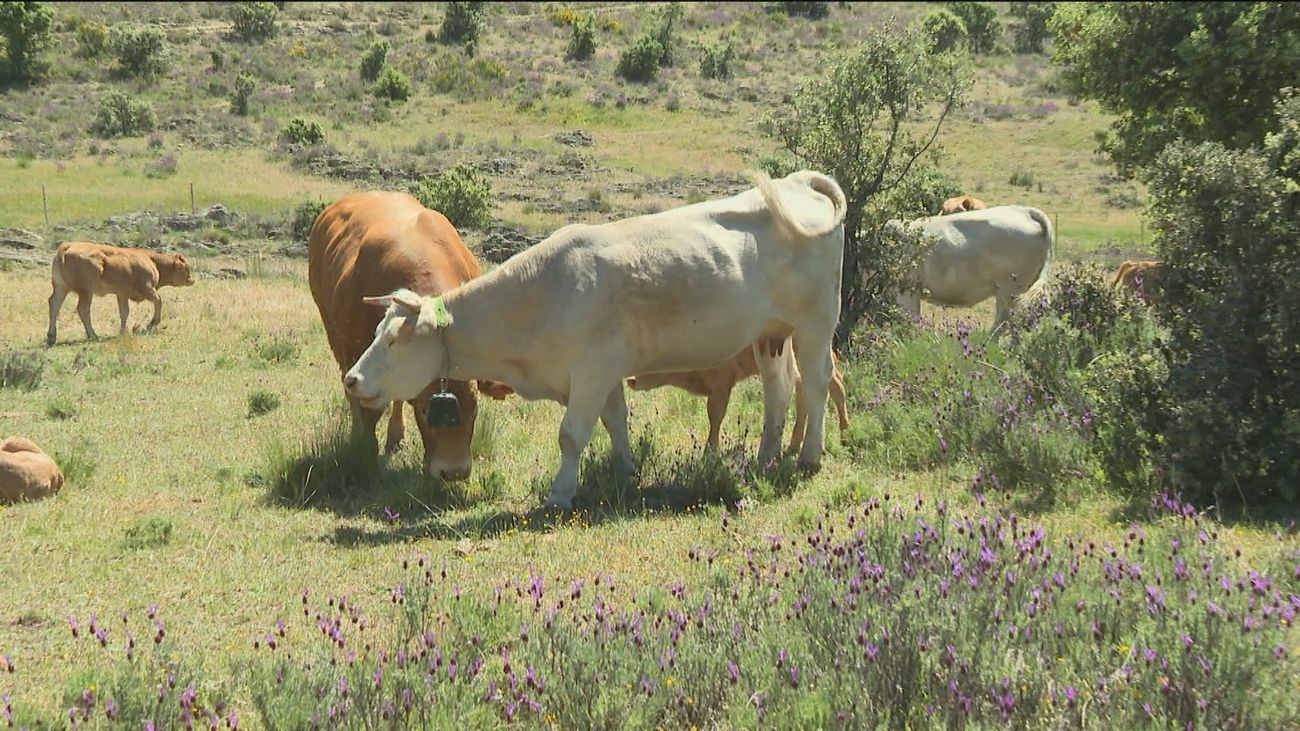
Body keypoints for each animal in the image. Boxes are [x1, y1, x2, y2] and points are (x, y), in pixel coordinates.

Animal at [46, 242, 195, 346]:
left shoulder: (121, 294)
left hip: (61, 288)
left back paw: (51, 337)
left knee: (54, 304)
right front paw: (152, 323)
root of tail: (68, 246)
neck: (152, 261)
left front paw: (123, 332)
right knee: (83, 309)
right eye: (186, 268)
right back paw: (93, 335)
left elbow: (124, 312)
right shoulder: (147, 289)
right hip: (86, 291)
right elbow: (158, 301)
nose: (192, 280)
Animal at [308, 191, 512, 482]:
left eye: (474, 408)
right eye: (426, 411)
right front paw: (365, 450)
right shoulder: (359, 360)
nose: (453, 472)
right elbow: (368, 408)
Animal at [626, 342, 850, 453]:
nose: (630, 379)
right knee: (804, 393)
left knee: (836, 385)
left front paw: (710, 451)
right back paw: (794, 444)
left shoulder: (722, 384)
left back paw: (845, 433)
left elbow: (715, 416)